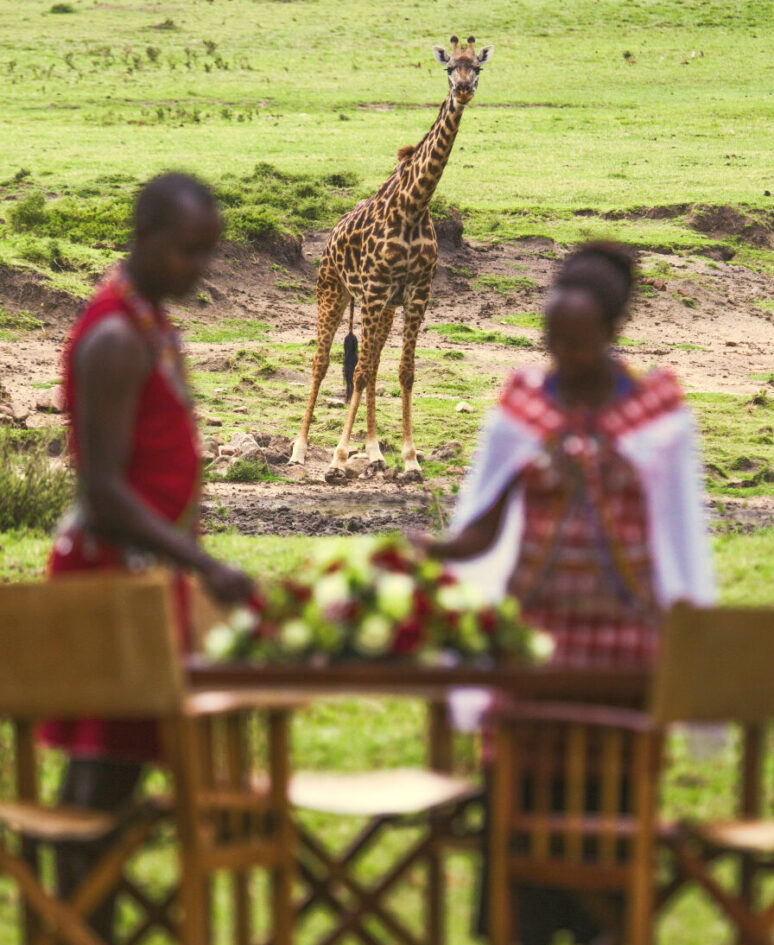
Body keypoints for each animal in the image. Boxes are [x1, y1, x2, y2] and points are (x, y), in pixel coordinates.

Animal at [288, 34, 494, 484]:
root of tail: (330, 236)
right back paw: (300, 448)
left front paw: (409, 459)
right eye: (449, 67)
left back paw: (374, 453)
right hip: (334, 293)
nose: (463, 90)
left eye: (477, 67)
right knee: (322, 362)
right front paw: (337, 459)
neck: (414, 205)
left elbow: (403, 371)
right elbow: (359, 371)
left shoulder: (416, 292)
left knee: (373, 360)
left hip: (378, 307)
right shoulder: (377, 289)